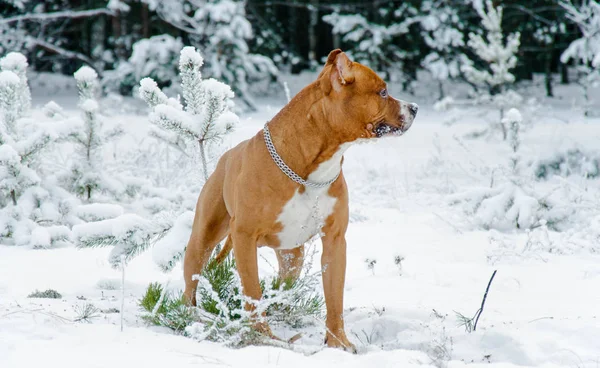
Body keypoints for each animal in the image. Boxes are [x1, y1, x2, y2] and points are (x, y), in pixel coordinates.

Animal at [183, 48, 418, 350]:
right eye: (383, 92)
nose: (415, 107)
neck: (313, 167)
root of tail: (226, 157)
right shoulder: (244, 236)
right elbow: (252, 292)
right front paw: (262, 337)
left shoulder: (335, 241)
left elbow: (335, 298)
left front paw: (337, 343)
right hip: (203, 238)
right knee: (192, 281)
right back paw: (187, 316)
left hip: (291, 257)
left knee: (281, 285)